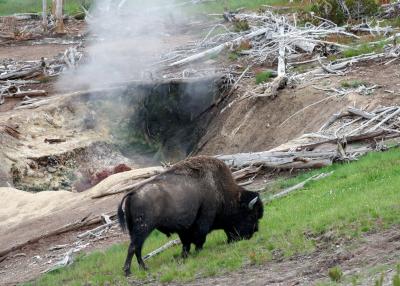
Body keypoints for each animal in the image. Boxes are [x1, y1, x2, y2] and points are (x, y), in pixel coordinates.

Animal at [117, 155, 264, 276]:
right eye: (251, 216)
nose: (254, 232)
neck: (221, 191)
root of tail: (133, 192)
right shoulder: (203, 220)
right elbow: (199, 237)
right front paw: (197, 251)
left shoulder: (184, 228)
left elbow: (186, 243)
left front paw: (184, 255)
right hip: (143, 228)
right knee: (134, 247)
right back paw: (129, 271)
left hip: (135, 229)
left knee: (137, 248)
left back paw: (143, 268)